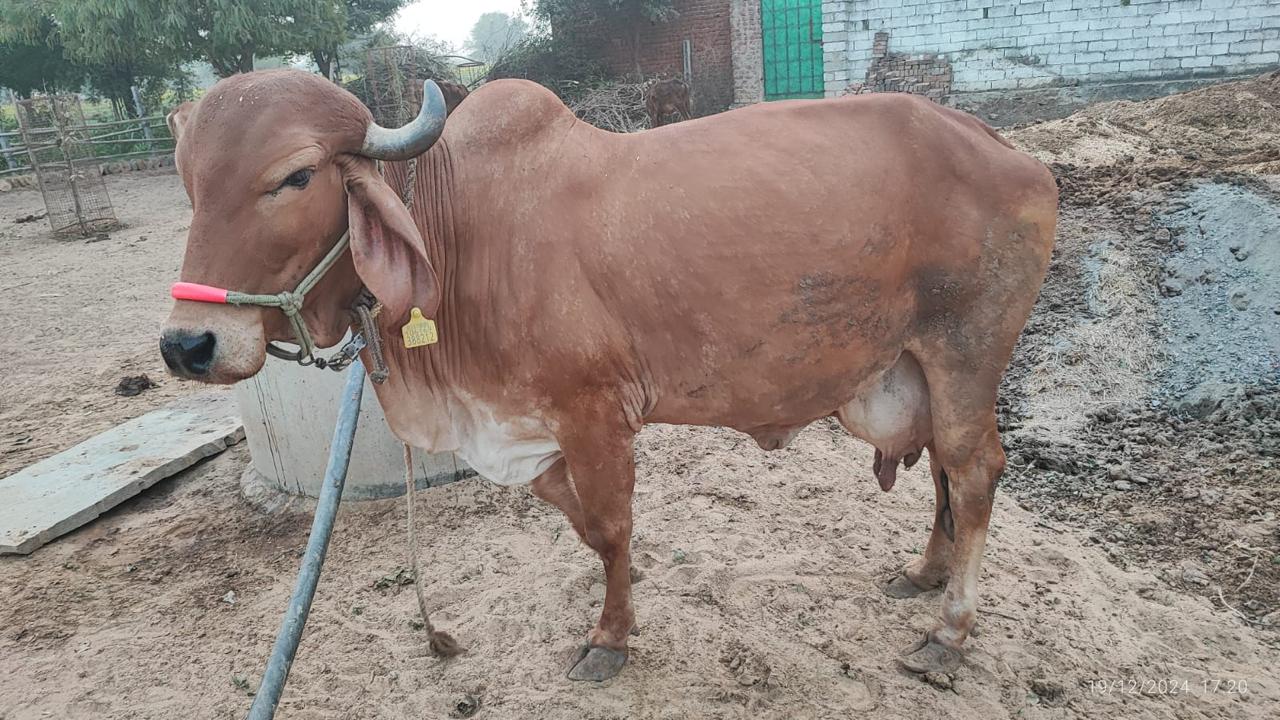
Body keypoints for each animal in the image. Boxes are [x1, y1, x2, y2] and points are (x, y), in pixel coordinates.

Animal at [159, 69, 1057, 682]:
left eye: (294, 176)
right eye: (190, 180)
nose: (188, 345)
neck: (463, 232)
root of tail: (1011, 153)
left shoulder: (595, 415)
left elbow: (611, 526)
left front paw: (610, 638)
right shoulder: (526, 432)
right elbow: (587, 525)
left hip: (966, 351)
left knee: (975, 472)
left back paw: (949, 630)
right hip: (918, 367)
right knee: (941, 466)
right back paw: (925, 574)